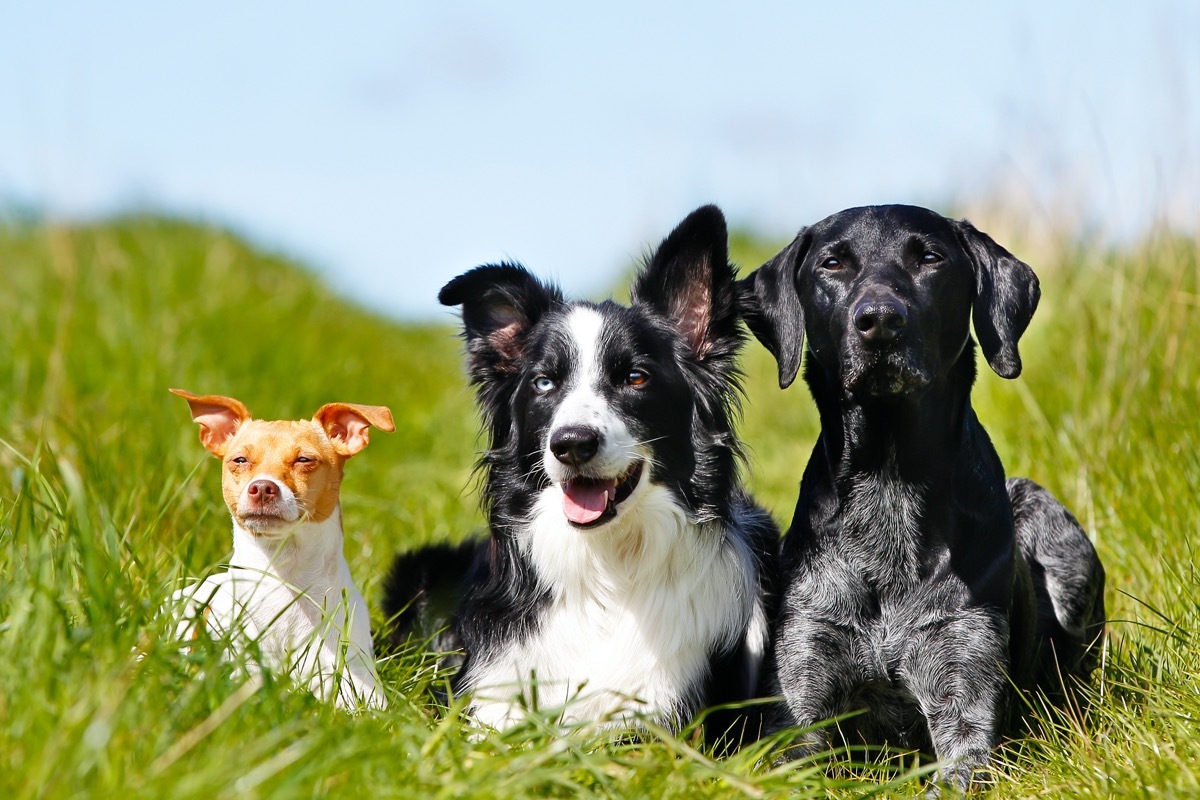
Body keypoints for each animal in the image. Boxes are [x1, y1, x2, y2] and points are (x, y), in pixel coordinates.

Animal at [739, 203, 1104, 791]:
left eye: (929, 258)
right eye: (832, 263)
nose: (880, 320)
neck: (890, 481)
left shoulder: (964, 696)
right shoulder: (800, 697)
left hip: (1052, 529)